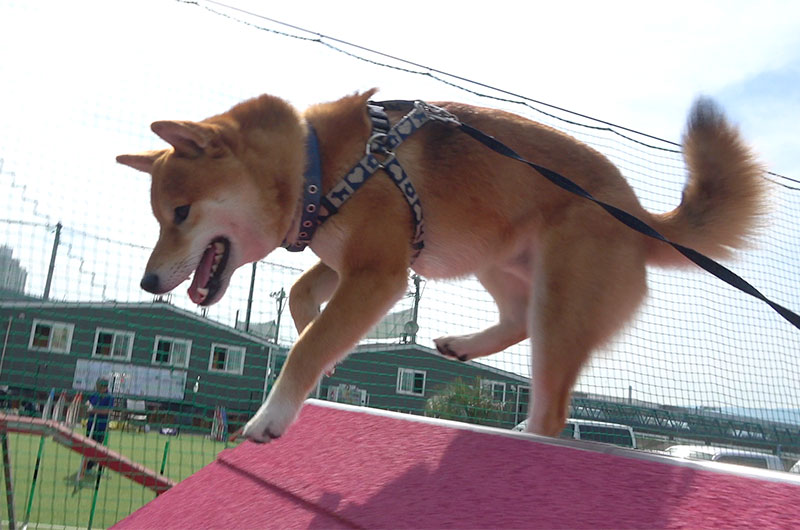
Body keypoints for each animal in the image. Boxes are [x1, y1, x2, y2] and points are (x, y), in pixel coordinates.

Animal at [117, 89, 764, 442]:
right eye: (158, 217)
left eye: (179, 213)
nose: (148, 281)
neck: (318, 168)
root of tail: (639, 212)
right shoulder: (349, 261)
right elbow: (303, 301)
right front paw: (326, 364)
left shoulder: (378, 272)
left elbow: (305, 343)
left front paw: (272, 415)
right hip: (495, 262)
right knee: (517, 321)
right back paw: (461, 345)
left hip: (558, 297)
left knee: (553, 406)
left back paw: (527, 431)